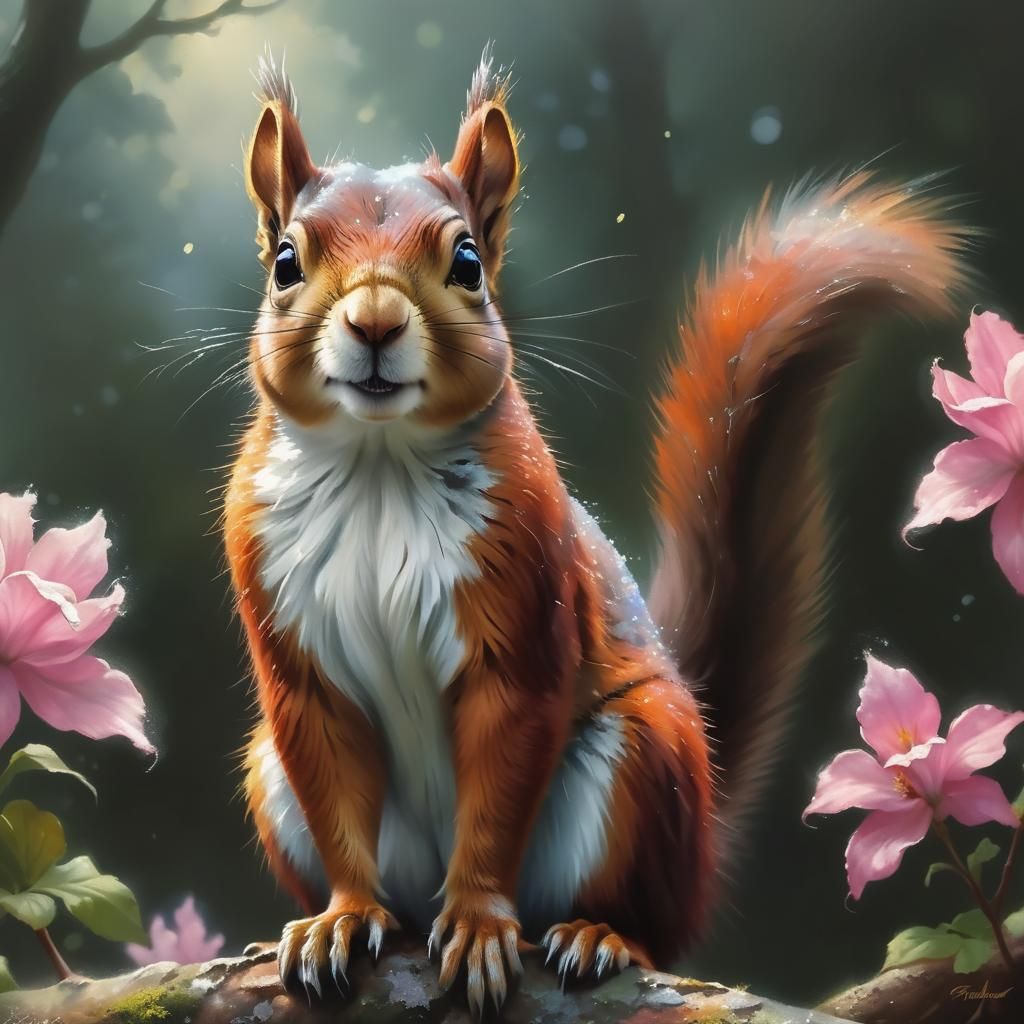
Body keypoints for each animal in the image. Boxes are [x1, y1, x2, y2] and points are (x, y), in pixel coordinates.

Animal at [224, 50, 966, 1013]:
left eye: (467, 261)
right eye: (285, 261)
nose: (376, 323)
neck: (378, 464)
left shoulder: (524, 600)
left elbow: (501, 776)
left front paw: (479, 923)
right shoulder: (292, 652)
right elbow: (331, 783)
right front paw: (343, 916)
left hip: (644, 760)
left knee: (651, 925)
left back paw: (593, 934)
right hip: (268, 770)